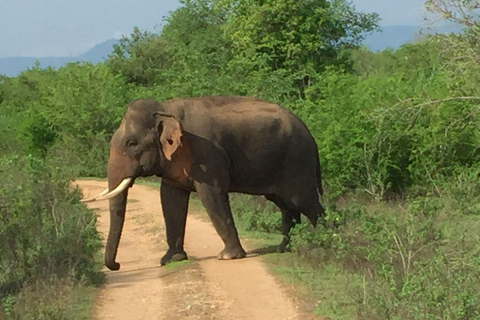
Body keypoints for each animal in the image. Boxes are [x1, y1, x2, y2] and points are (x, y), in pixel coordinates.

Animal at [82, 97, 324, 270]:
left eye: (132, 143)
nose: (117, 265)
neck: (165, 108)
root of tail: (311, 135)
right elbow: (170, 199)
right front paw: (170, 260)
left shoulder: (206, 154)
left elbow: (212, 195)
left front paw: (228, 257)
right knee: (285, 205)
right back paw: (284, 248)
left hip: (297, 162)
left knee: (305, 202)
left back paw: (321, 244)